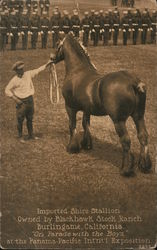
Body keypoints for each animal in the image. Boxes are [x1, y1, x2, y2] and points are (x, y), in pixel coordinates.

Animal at [51, 33, 151, 177]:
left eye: (58, 43)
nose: (51, 57)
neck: (77, 70)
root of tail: (134, 82)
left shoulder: (70, 107)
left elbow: (72, 125)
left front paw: (72, 147)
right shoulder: (87, 109)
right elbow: (85, 124)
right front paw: (86, 144)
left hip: (119, 121)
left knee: (126, 141)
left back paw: (125, 169)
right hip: (139, 116)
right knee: (143, 136)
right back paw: (145, 166)